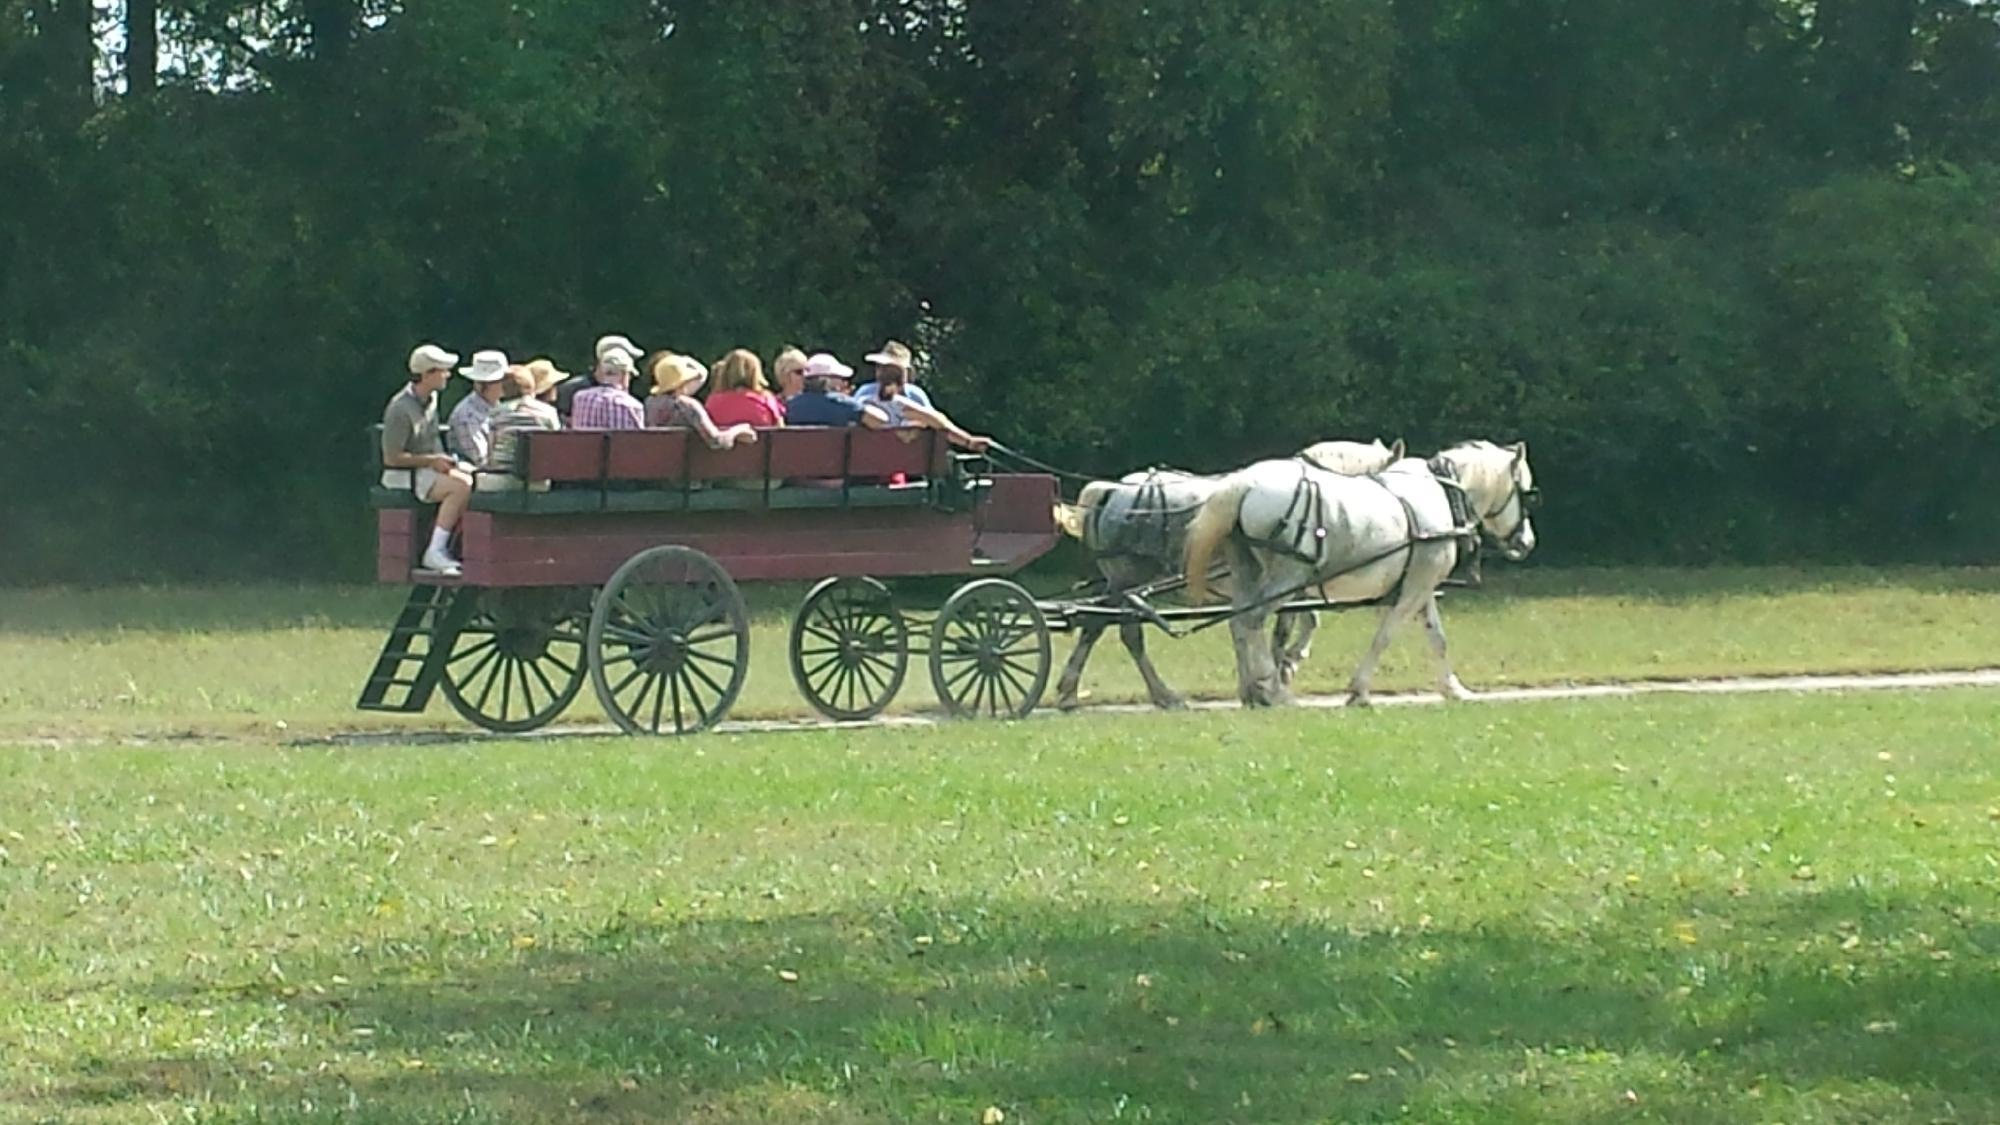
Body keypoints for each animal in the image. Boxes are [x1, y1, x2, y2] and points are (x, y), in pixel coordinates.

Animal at [1048, 434, 1408, 704]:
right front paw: (1282, 668)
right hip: (1128, 578)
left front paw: (1259, 682)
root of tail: (1111, 491)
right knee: (1119, 631)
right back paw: (1160, 695)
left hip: (1119, 583)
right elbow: (1293, 627)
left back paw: (1074, 692)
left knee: (1097, 626)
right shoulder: (1292, 581)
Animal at [1184, 438, 1544, 700]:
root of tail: (1246, 484)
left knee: (1239, 622)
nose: (1527, 542)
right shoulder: (1414, 590)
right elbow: (1384, 636)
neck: (1444, 494)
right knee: (1252, 619)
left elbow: (1437, 638)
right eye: (1527, 494)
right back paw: (1271, 689)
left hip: (1249, 571)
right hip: (1287, 576)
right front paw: (1358, 690)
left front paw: (1454, 689)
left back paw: (1251, 690)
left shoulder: (1422, 585)